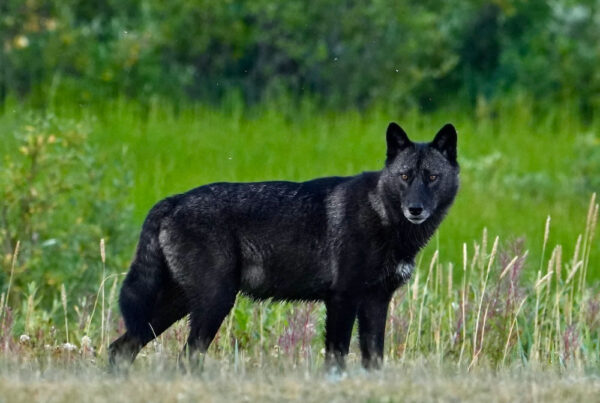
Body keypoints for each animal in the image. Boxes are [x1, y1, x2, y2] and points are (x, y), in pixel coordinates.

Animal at [109, 122, 460, 370]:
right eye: (405, 176)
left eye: (431, 177)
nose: (415, 209)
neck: (383, 216)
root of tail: (172, 200)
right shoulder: (342, 298)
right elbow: (336, 358)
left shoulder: (376, 301)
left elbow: (373, 359)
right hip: (214, 303)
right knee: (185, 357)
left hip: (176, 306)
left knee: (120, 348)